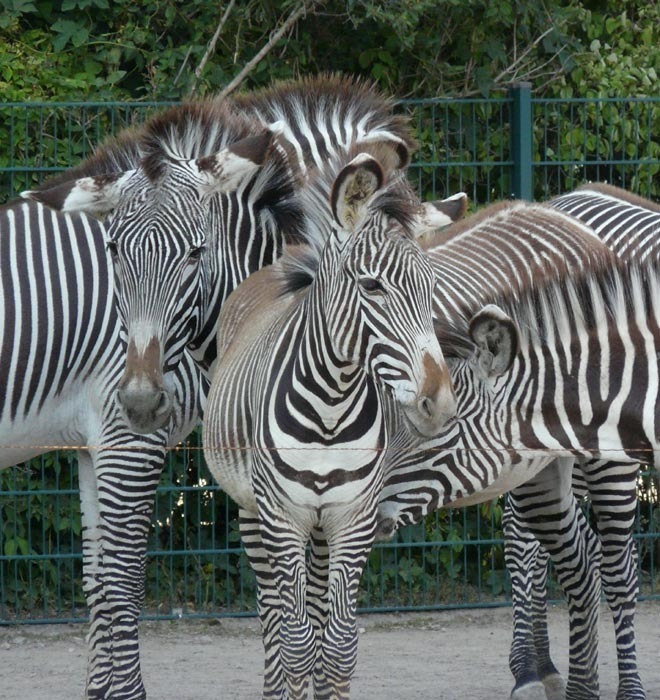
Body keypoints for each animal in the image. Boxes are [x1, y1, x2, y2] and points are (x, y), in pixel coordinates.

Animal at [204, 149, 456, 700]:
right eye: (372, 286)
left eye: (432, 290)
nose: (440, 405)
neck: (330, 409)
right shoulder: (283, 518)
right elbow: (297, 640)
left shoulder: (352, 519)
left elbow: (338, 644)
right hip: (253, 513)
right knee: (273, 614)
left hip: (320, 528)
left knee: (315, 612)